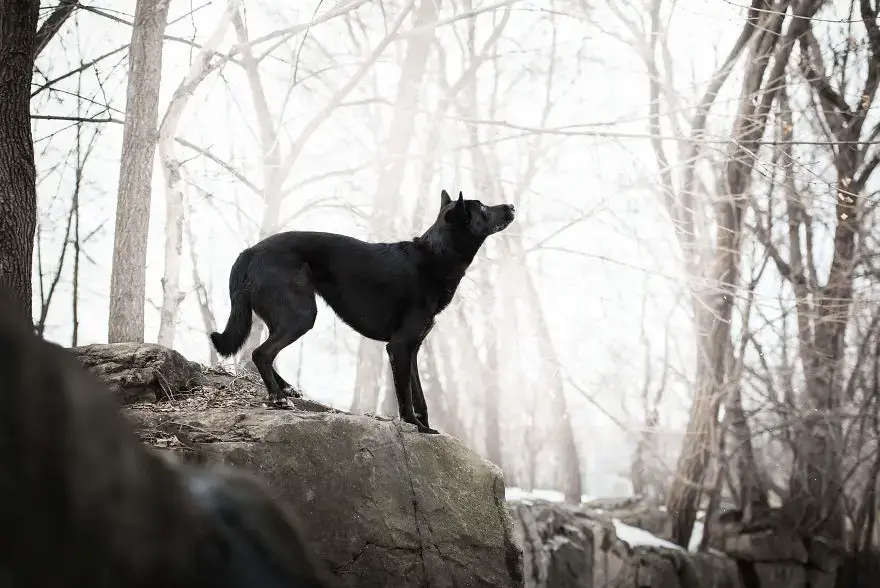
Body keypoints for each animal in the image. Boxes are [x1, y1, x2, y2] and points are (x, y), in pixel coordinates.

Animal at [211, 191, 516, 434]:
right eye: (483, 208)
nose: (512, 206)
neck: (435, 256)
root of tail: (250, 251)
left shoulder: (412, 349)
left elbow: (420, 396)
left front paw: (426, 427)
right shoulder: (399, 347)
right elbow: (405, 397)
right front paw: (416, 428)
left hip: (287, 316)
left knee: (262, 353)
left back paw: (285, 388)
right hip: (301, 315)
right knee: (260, 353)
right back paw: (278, 397)